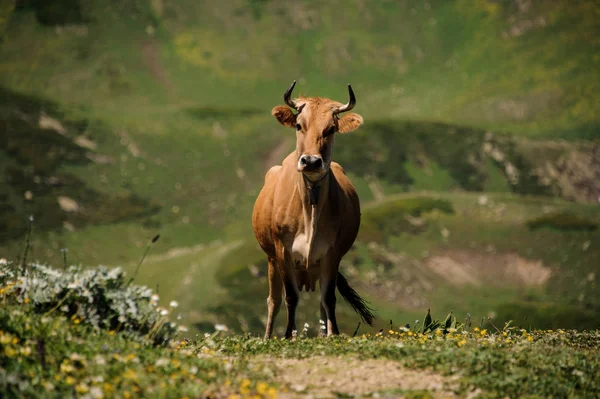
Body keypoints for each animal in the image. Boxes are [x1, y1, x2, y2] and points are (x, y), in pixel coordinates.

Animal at [252, 82, 376, 340]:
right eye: (299, 125)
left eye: (331, 129)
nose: (310, 161)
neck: (309, 210)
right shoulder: (282, 252)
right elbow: (290, 297)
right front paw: (289, 335)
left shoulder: (332, 253)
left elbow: (328, 298)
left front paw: (333, 334)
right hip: (271, 259)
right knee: (273, 300)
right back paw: (268, 336)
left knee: (320, 300)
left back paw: (322, 333)